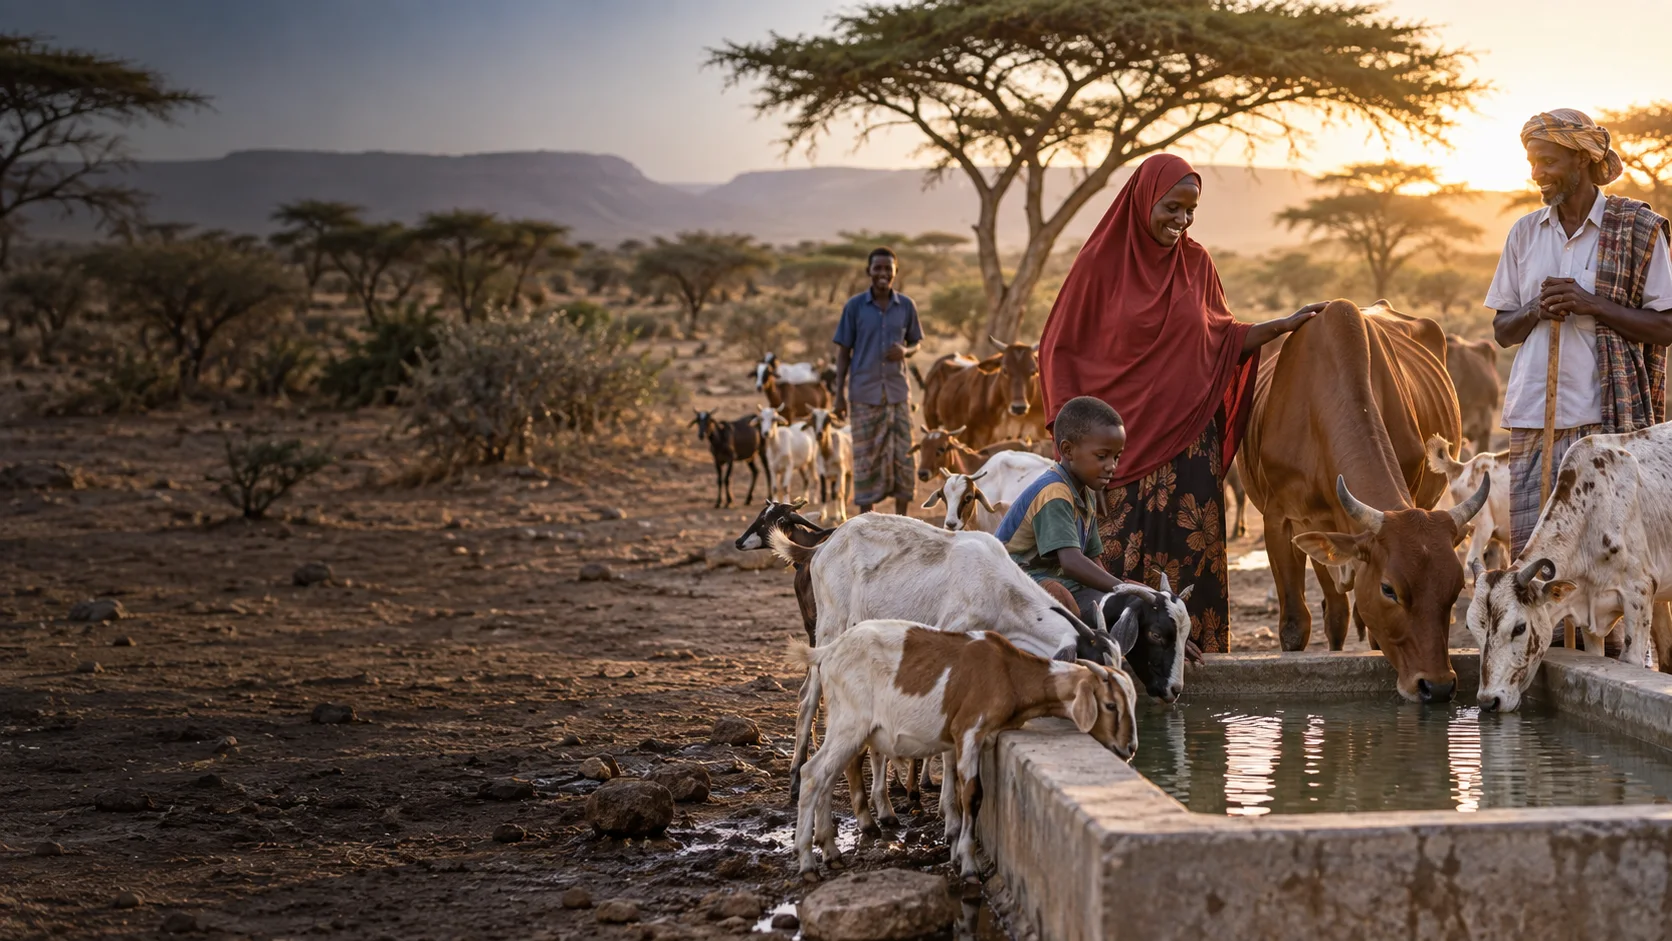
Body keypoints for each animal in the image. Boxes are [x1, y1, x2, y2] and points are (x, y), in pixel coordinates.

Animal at [788, 620, 1136, 878]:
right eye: (1110, 705)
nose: (1130, 747)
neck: (1008, 673)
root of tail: (828, 651)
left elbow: (955, 789)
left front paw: (955, 848)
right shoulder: (969, 732)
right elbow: (972, 794)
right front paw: (968, 865)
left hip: (846, 727)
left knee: (827, 777)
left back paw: (830, 851)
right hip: (850, 724)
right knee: (813, 774)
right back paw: (807, 862)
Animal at [1237, 300, 1489, 703]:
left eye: (1455, 589)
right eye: (1389, 589)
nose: (1437, 686)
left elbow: (1372, 635)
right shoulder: (1279, 522)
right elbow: (1294, 626)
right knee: (1335, 613)